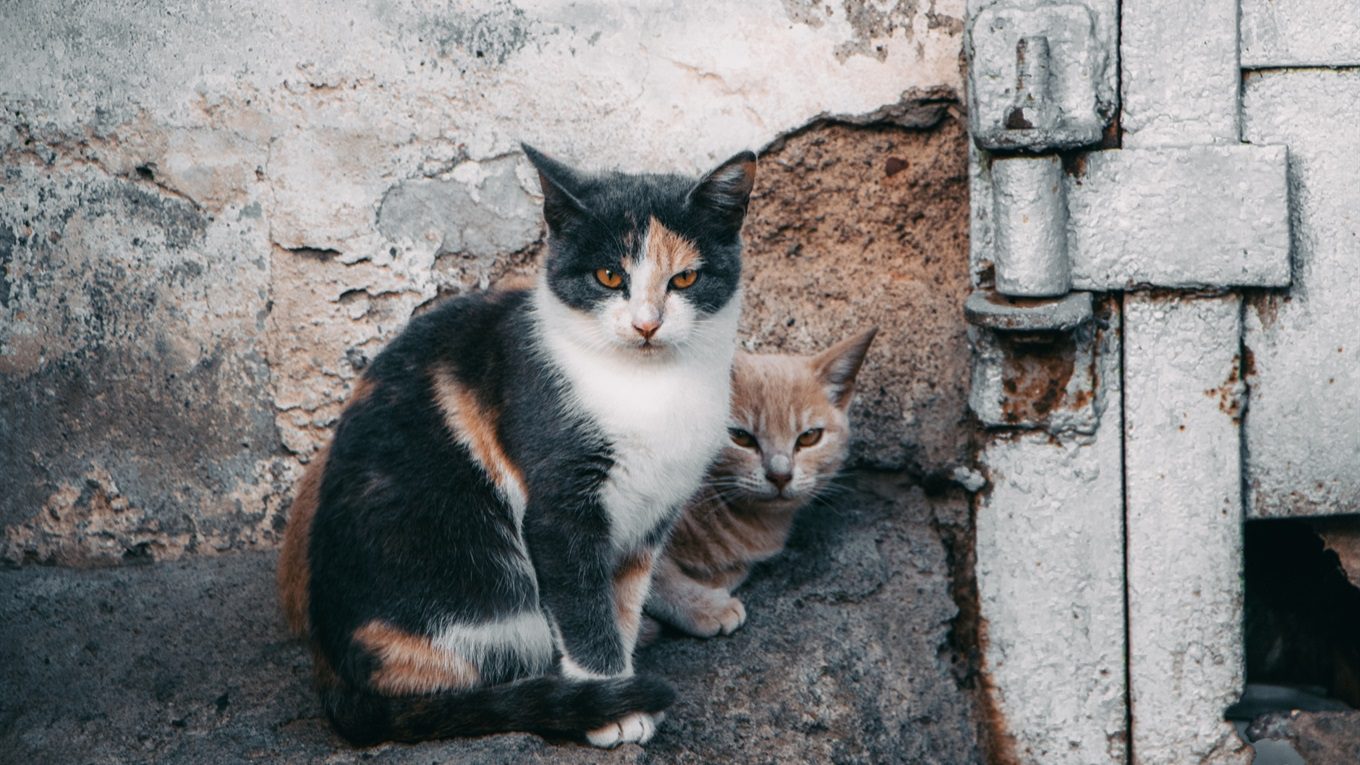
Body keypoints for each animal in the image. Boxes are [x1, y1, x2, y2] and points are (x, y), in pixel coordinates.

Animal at [274, 142, 756, 745]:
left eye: (686, 279)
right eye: (608, 276)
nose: (646, 325)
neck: (651, 388)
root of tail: (331, 674)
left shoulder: (651, 514)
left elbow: (618, 600)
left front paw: (620, 674)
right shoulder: (559, 510)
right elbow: (582, 606)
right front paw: (611, 706)